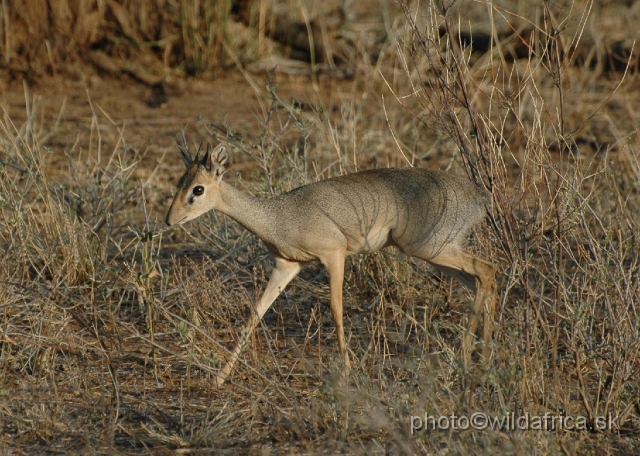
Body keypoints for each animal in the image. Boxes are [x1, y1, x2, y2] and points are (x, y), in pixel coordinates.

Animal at [165, 142, 496, 384]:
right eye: (180, 182)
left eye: (198, 189)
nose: (169, 220)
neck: (279, 217)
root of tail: (478, 197)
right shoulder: (286, 266)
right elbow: (255, 313)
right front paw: (220, 377)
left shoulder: (334, 255)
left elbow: (336, 308)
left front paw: (346, 372)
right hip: (439, 255)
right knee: (481, 281)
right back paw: (482, 358)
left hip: (430, 248)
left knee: (487, 270)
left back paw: (468, 358)